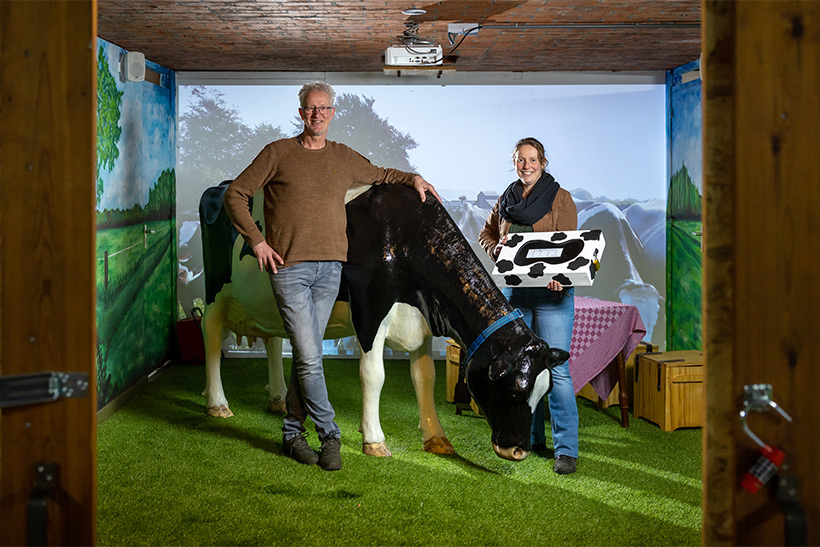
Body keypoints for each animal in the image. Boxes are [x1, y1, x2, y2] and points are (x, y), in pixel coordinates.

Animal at [202, 182, 568, 460]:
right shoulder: (370, 312)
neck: (405, 237)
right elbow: (374, 375)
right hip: (215, 292)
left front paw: (437, 438)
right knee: (212, 339)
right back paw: (217, 403)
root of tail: (221, 187)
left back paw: (277, 399)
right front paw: (374, 439)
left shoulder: (421, 320)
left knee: (273, 340)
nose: (517, 452)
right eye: (515, 393)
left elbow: (425, 378)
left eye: (543, 393)